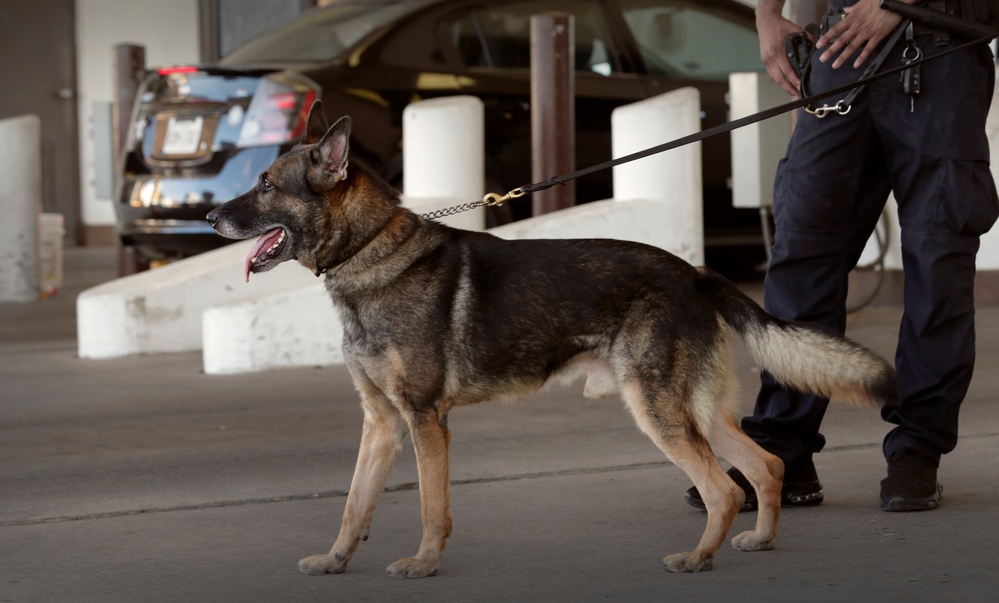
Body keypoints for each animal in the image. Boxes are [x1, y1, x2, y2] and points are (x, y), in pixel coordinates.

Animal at [207, 101, 896, 580]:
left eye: (266, 185)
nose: (210, 216)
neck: (371, 253)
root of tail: (695, 272)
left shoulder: (425, 421)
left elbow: (431, 505)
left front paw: (424, 564)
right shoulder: (380, 422)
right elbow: (354, 503)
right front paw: (336, 560)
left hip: (657, 412)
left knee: (723, 488)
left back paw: (698, 559)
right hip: (693, 411)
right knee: (765, 465)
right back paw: (761, 539)